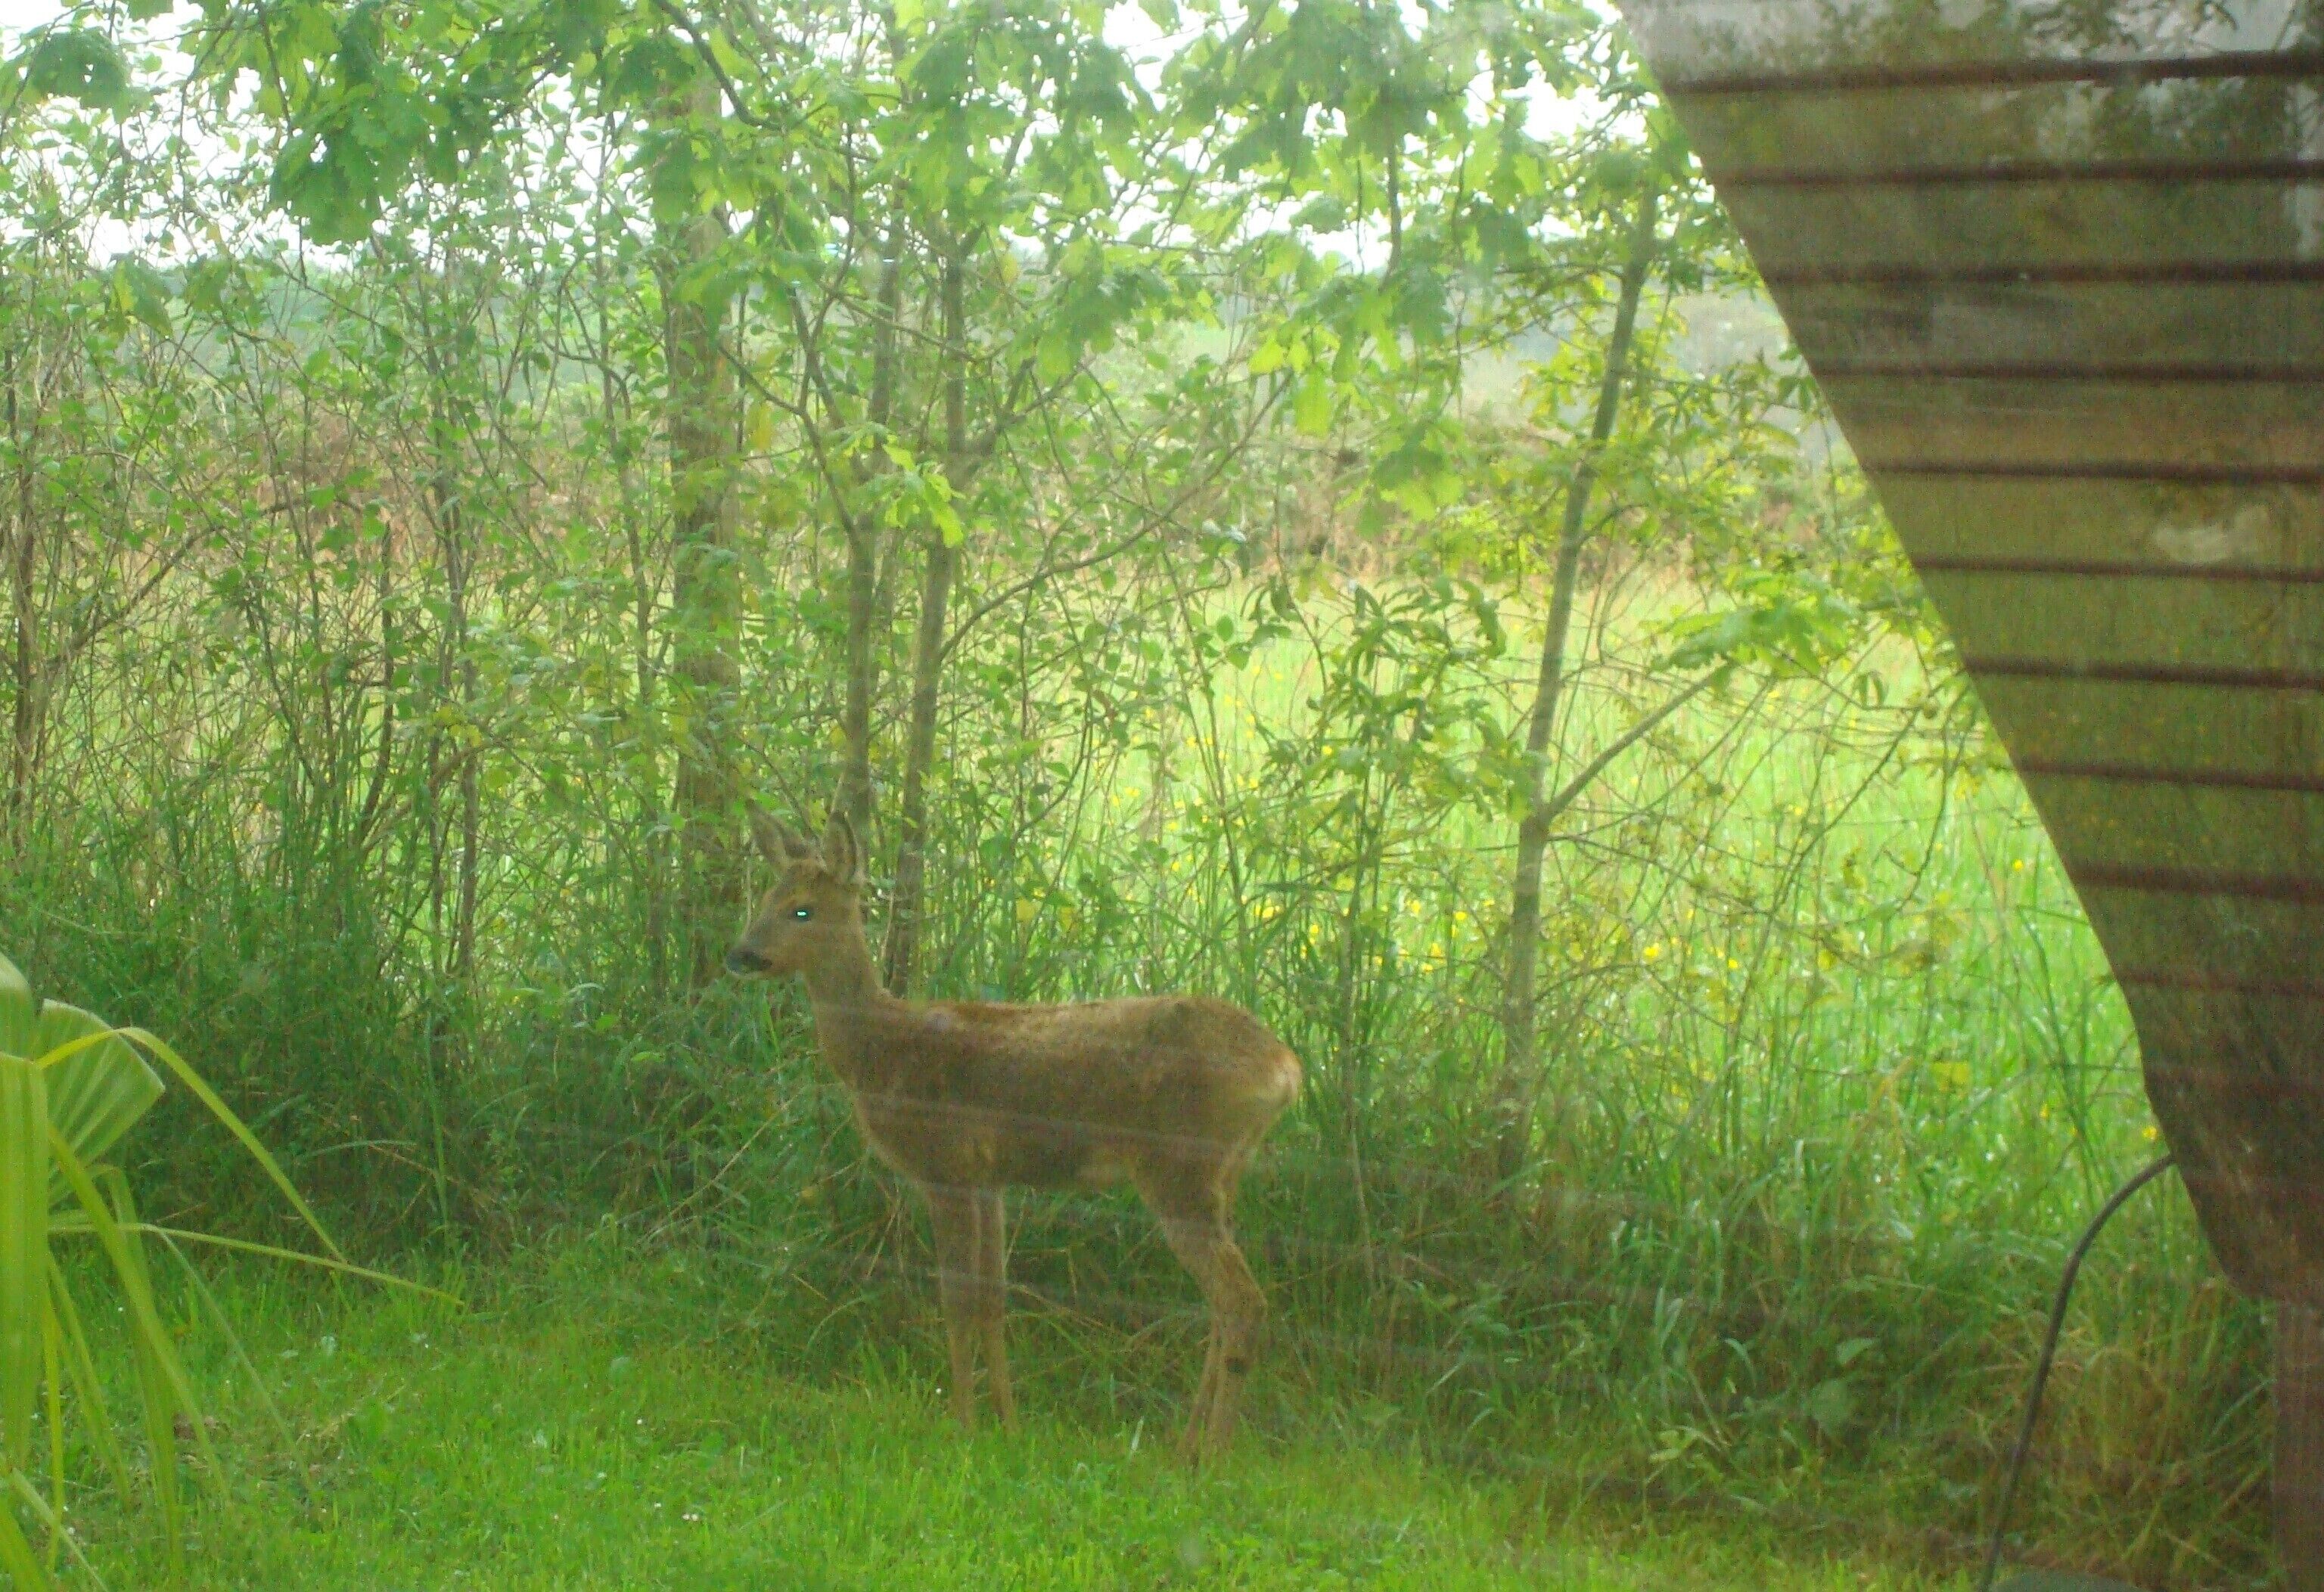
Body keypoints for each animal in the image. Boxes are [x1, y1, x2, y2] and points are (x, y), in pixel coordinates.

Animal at [723, 806, 1303, 1463]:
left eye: (802, 909)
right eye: (765, 898)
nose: (740, 954)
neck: (883, 1052)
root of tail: (1286, 1068)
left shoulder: (944, 1163)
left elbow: (956, 1297)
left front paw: (961, 1424)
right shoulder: (989, 1177)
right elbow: (994, 1298)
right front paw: (1007, 1422)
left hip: (1178, 1166)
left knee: (1241, 1300)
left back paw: (1211, 1457)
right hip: (1221, 1175)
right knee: (1222, 1306)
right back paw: (1186, 1446)